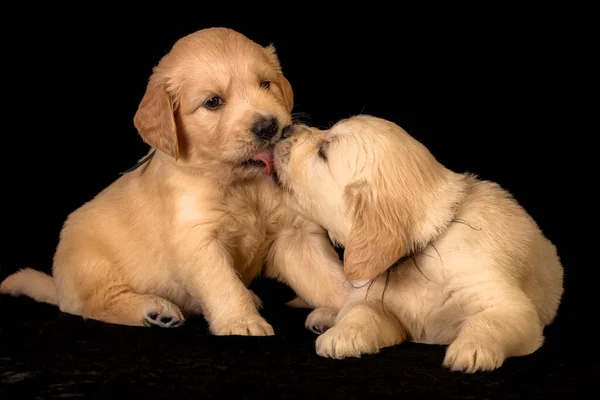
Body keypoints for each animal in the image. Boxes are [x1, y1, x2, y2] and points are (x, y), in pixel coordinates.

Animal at [0, 28, 350, 332]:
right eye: (213, 102)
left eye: (266, 84)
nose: (268, 126)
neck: (240, 184)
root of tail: (59, 288)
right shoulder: (197, 240)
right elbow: (223, 284)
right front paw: (242, 322)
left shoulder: (295, 236)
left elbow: (329, 278)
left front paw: (355, 310)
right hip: (90, 263)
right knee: (94, 305)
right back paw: (152, 309)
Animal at [272, 115, 564, 372]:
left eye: (324, 151)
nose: (285, 129)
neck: (426, 248)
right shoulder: (374, 300)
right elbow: (359, 312)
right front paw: (342, 334)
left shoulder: (510, 307)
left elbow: (489, 321)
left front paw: (472, 349)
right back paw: (326, 316)